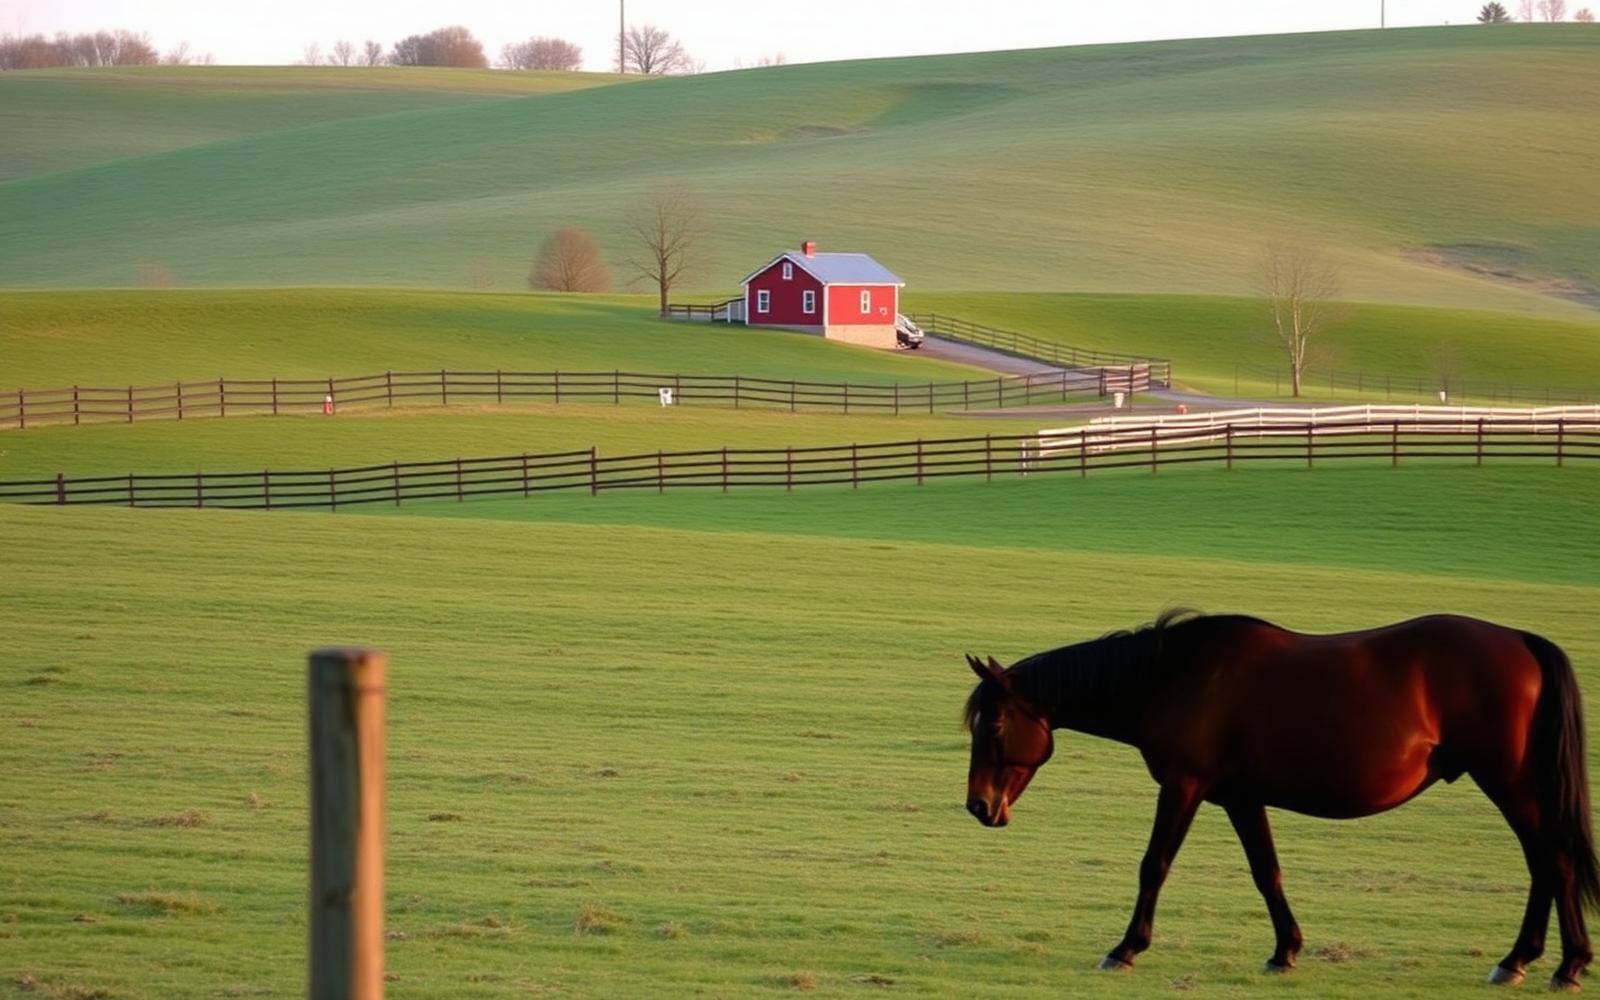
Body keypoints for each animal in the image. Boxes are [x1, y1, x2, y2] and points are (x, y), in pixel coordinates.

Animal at [961, 611, 1599, 989]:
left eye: (993, 724)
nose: (979, 807)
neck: (1176, 675)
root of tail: (1522, 641)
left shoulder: (1184, 787)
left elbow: (1154, 865)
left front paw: (1126, 947)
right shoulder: (1241, 798)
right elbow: (1266, 872)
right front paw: (1285, 949)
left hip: (1509, 782)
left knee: (1554, 860)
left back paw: (1560, 964)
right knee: (1545, 863)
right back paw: (1527, 958)